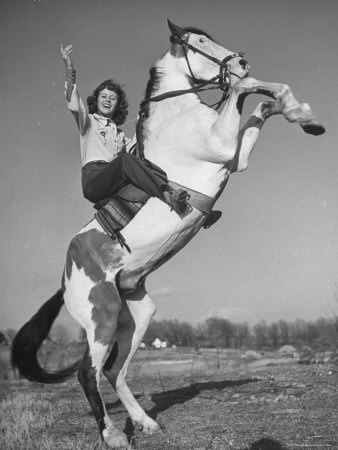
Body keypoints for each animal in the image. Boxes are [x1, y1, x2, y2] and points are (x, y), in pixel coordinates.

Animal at [12, 19, 324, 448]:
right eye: (199, 41)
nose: (240, 62)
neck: (178, 113)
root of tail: (64, 280)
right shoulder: (222, 145)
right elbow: (247, 91)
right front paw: (295, 108)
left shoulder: (236, 157)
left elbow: (265, 103)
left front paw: (306, 118)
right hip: (100, 318)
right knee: (88, 373)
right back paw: (114, 434)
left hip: (135, 316)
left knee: (115, 372)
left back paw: (146, 423)